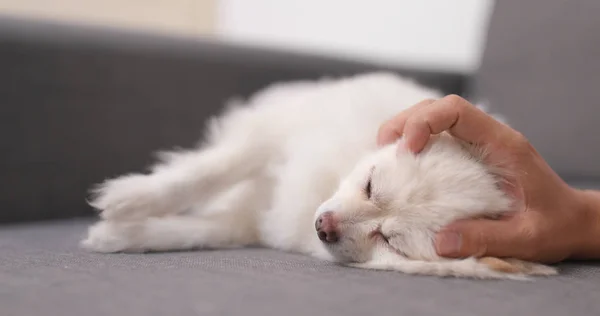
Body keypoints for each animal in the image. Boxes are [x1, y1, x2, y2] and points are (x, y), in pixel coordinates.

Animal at [81, 71, 556, 278]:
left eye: (390, 242)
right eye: (370, 185)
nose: (323, 226)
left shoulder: (250, 221)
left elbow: (199, 231)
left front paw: (123, 235)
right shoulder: (274, 135)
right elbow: (211, 170)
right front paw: (132, 197)